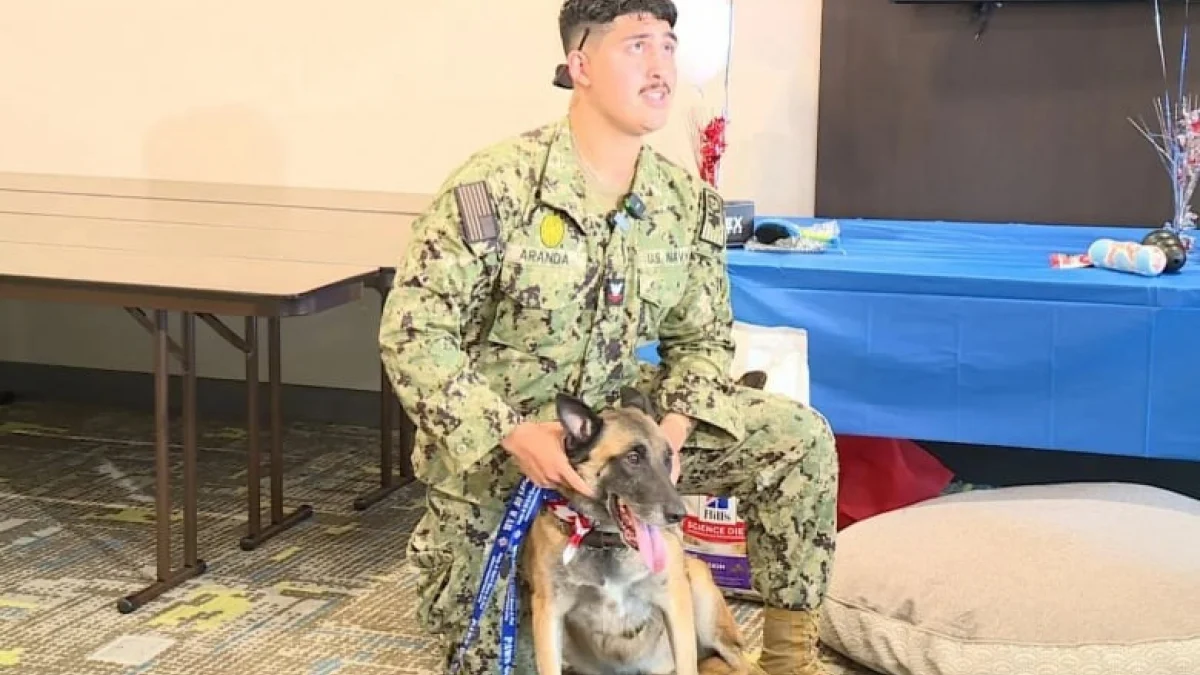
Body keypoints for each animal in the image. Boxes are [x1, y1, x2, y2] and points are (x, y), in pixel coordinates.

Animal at [523, 384, 748, 672]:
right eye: (633, 458)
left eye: (668, 457)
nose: (679, 515)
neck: (605, 542)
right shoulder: (548, 616)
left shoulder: (676, 603)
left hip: (701, 595)